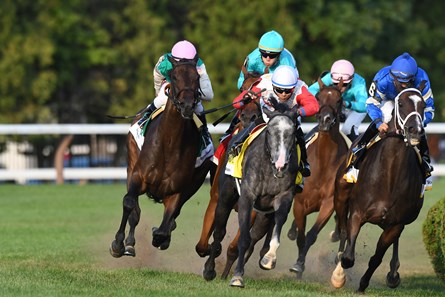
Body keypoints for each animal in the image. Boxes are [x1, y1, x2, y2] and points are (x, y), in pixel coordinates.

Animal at [111, 56, 215, 256]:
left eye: (197, 78)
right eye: (174, 77)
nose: (187, 106)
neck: (169, 143)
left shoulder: (176, 191)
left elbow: (167, 222)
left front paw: (160, 236)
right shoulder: (138, 176)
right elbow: (129, 203)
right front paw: (118, 243)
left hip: (195, 182)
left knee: (173, 217)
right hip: (131, 163)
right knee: (135, 210)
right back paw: (129, 243)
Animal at [193, 70, 262, 258]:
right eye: (243, 89)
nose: (248, 117)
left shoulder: (253, 210)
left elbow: (236, 245)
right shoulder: (216, 198)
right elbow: (202, 245)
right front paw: (212, 249)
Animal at [203, 100, 300, 286]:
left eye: (293, 132)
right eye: (269, 131)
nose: (281, 164)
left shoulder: (281, 199)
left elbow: (275, 229)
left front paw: (269, 258)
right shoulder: (246, 198)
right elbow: (242, 239)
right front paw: (236, 276)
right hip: (225, 199)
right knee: (219, 232)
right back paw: (210, 269)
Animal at [288, 78, 350, 278]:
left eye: (339, 100)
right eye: (317, 97)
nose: (325, 120)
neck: (323, 162)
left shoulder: (329, 203)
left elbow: (311, 235)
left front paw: (299, 265)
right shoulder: (300, 203)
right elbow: (300, 236)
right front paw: (298, 266)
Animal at [332, 81, 424, 292]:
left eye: (423, 105)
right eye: (402, 104)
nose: (415, 130)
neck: (389, 178)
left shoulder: (396, 224)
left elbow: (376, 258)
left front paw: (363, 285)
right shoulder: (357, 212)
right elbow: (348, 256)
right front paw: (339, 276)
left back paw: (393, 274)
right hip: (341, 195)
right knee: (342, 229)